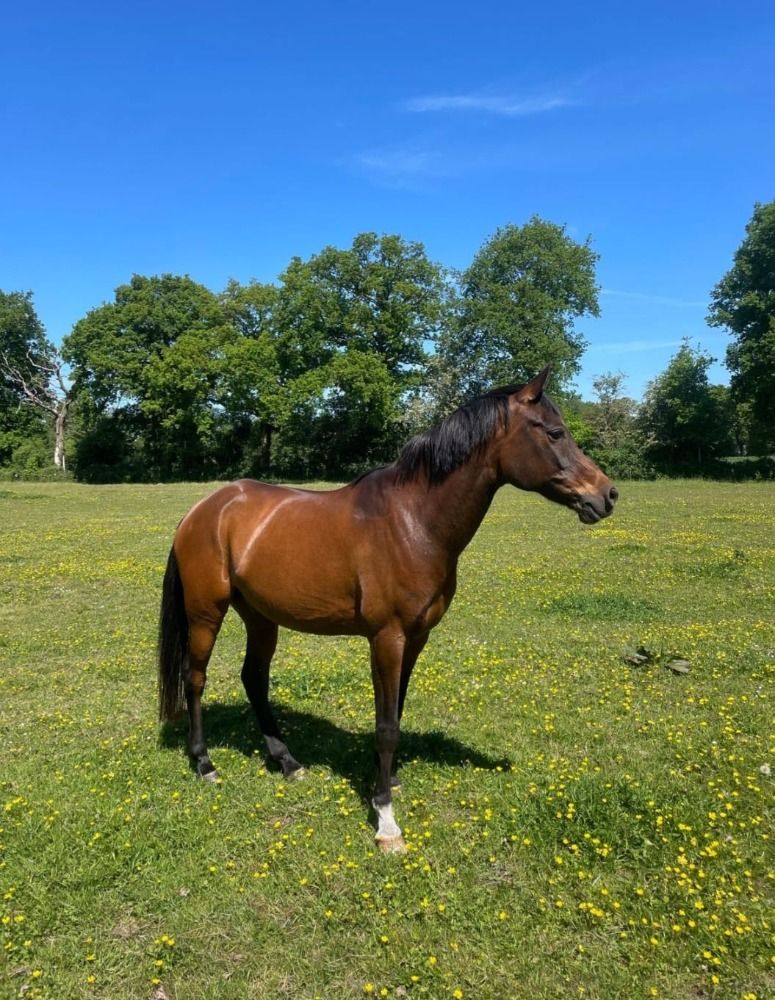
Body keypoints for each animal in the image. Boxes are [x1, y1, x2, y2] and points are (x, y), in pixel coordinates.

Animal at [158, 368, 617, 852]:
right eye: (554, 433)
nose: (607, 495)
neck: (414, 522)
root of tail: (203, 510)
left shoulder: (416, 638)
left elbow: (396, 710)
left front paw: (390, 780)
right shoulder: (387, 638)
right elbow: (385, 726)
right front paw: (385, 819)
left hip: (261, 617)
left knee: (254, 678)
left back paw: (287, 762)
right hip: (206, 612)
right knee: (195, 678)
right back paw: (205, 764)